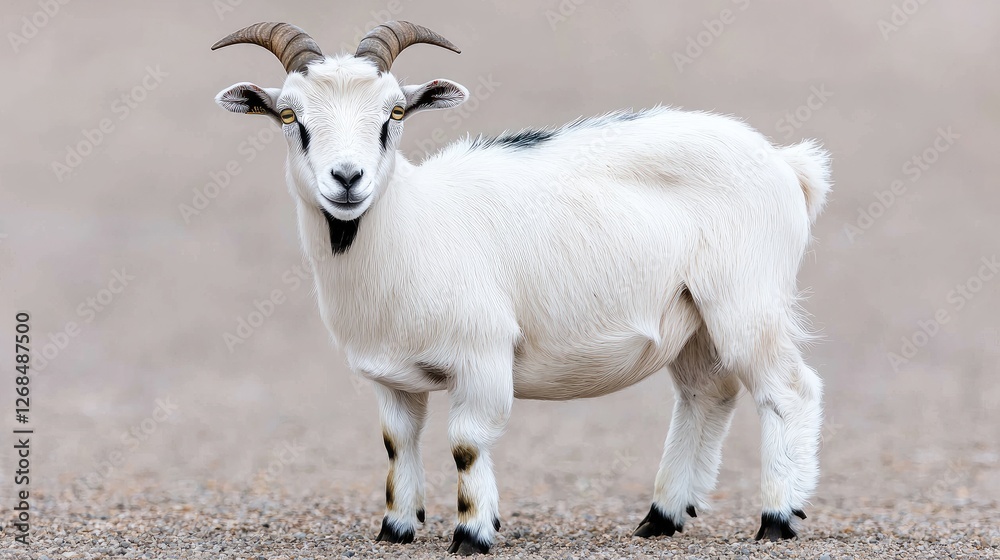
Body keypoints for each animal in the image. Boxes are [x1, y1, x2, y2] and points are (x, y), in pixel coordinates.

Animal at [213, 21, 832, 555]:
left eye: (394, 113)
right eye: (289, 115)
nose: (347, 179)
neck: (413, 224)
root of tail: (786, 164)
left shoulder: (483, 355)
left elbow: (467, 444)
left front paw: (472, 533)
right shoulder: (391, 377)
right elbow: (398, 443)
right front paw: (396, 528)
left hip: (746, 301)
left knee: (789, 390)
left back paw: (777, 519)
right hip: (693, 318)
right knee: (707, 394)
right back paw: (661, 517)